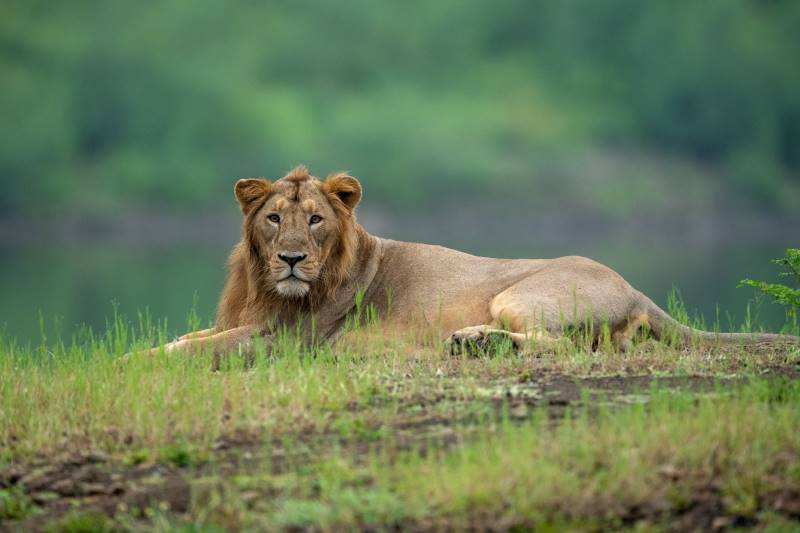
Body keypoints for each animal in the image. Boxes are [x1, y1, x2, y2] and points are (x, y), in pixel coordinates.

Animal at [152, 165, 798, 361]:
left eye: (314, 220)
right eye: (272, 219)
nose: (290, 259)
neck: (265, 287)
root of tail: (635, 288)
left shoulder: (286, 339)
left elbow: (188, 351)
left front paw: (142, 360)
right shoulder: (249, 320)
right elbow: (188, 337)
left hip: (519, 296)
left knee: (567, 345)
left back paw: (475, 341)